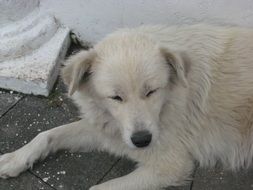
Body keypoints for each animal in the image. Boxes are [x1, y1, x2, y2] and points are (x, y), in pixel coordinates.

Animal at [0, 24, 253, 190]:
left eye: (151, 91)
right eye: (116, 97)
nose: (142, 140)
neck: (169, 101)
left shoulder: (171, 165)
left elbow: (97, 188)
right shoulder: (109, 128)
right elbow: (47, 134)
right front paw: (15, 158)